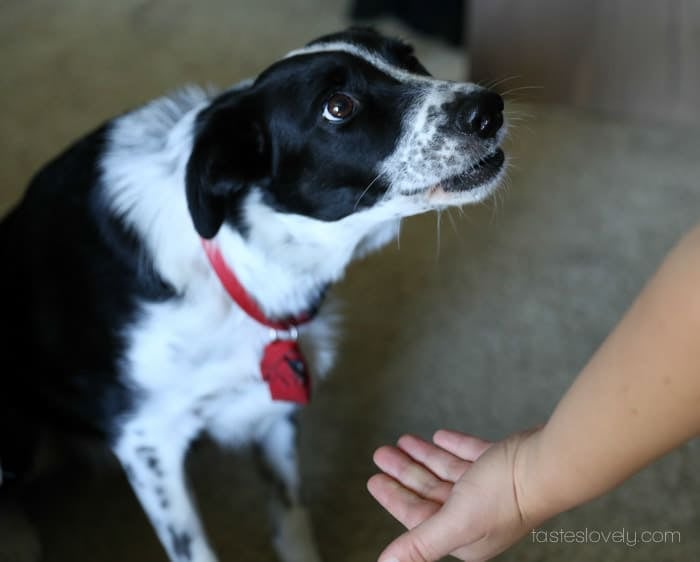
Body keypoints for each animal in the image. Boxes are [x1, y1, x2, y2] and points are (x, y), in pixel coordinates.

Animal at [0, 28, 504, 560]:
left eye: (409, 58)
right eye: (338, 106)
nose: (489, 108)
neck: (237, 259)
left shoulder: (272, 407)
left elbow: (292, 515)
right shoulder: (148, 441)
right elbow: (196, 548)